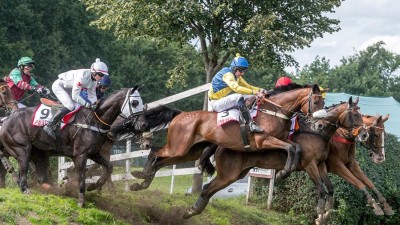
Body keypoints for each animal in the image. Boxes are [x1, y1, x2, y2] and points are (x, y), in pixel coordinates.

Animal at [0, 85, 147, 206]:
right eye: (134, 103)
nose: (143, 124)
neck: (95, 119)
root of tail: (6, 120)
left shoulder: (94, 153)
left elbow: (109, 167)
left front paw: (94, 185)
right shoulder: (80, 155)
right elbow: (82, 178)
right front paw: (81, 201)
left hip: (38, 152)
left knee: (40, 176)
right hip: (22, 149)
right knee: (21, 173)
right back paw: (26, 189)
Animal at [130, 83, 324, 191]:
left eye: (323, 102)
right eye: (316, 101)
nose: (319, 124)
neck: (273, 111)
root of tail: (180, 114)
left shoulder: (282, 138)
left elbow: (296, 147)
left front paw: (285, 170)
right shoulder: (263, 140)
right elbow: (291, 148)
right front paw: (284, 171)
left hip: (188, 151)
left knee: (161, 161)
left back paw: (141, 183)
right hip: (177, 146)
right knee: (155, 152)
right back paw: (142, 173)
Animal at [186, 96, 368, 225]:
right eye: (355, 114)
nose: (364, 134)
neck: (317, 133)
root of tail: (220, 144)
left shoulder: (321, 165)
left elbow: (330, 189)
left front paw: (326, 212)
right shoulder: (310, 166)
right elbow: (322, 190)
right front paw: (320, 213)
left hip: (237, 174)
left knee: (209, 189)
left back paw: (193, 210)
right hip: (228, 174)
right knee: (208, 188)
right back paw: (192, 210)